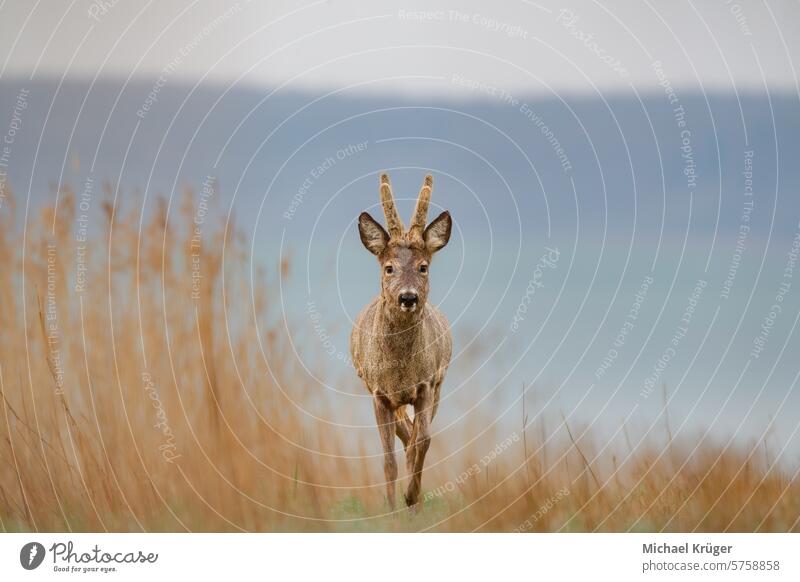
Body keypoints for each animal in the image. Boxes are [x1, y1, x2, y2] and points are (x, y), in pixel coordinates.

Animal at [348, 173, 454, 512]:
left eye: (423, 266)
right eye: (389, 267)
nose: (408, 297)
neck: (400, 371)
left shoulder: (426, 384)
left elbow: (422, 442)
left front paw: (412, 496)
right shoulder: (379, 393)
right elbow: (388, 460)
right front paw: (393, 509)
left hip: (438, 387)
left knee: (413, 438)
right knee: (402, 434)